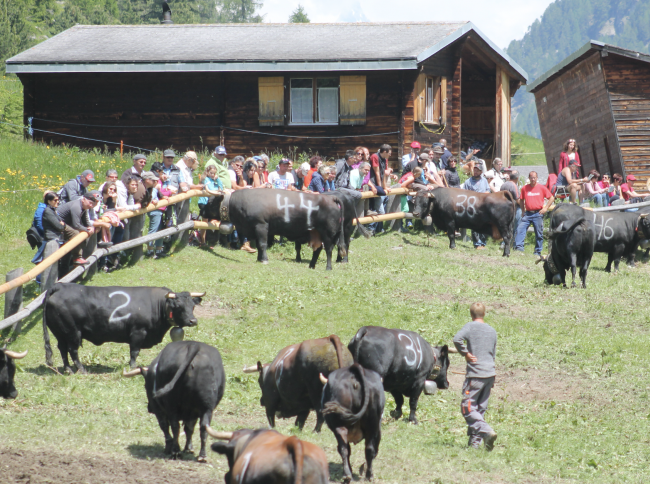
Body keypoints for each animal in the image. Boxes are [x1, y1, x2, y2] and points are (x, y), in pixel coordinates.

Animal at [201, 189, 344, 270]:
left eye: (210, 202)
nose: (201, 210)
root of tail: (330, 198)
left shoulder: (261, 225)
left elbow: (262, 244)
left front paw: (264, 260)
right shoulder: (255, 229)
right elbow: (259, 245)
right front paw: (259, 259)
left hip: (328, 234)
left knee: (329, 249)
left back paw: (328, 267)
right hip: (315, 233)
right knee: (317, 249)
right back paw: (311, 266)